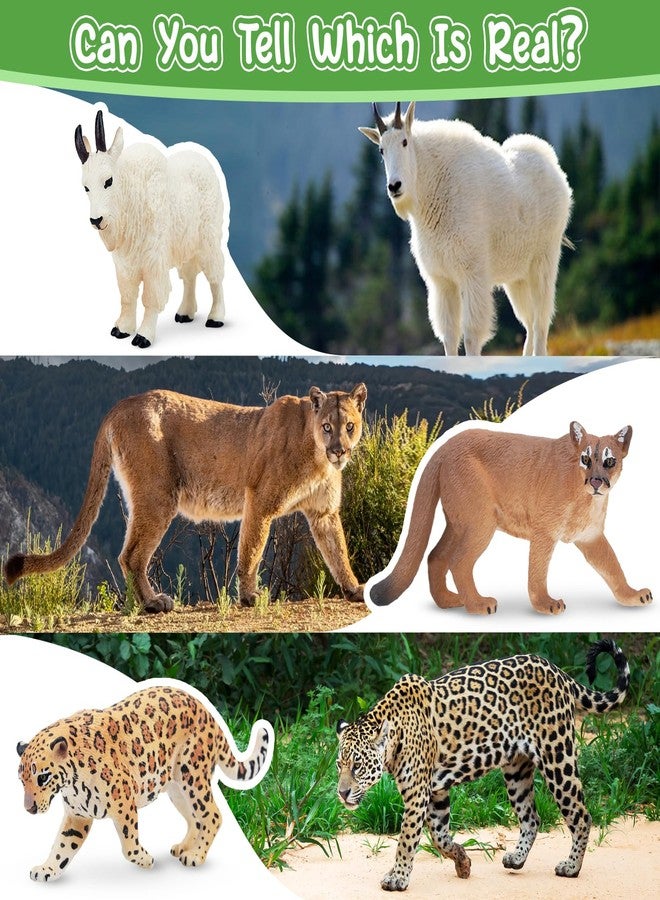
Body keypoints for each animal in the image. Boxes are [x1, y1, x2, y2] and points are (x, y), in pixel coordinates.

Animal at [4, 382, 367, 611]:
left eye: (349, 426)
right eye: (327, 427)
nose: (339, 450)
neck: (317, 457)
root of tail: (123, 403)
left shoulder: (323, 514)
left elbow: (338, 552)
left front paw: (354, 589)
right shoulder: (260, 501)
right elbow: (251, 551)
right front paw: (250, 597)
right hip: (158, 495)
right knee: (131, 555)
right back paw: (153, 603)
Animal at [17, 685, 272, 881]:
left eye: (43, 777)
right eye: (21, 781)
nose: (29, 809)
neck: (73, 782)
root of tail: (206, 711)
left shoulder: (124, 804)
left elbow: (129, 845)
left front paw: (146, 860)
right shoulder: (77, 816)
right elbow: (62, 847)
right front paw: (47, 869)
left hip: (192, 776)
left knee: (212, 815)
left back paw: (196, 856)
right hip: (177, 788)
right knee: (194, 818)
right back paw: (184, 847)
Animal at [336, 639, 629, 890]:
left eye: (357, 766)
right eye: (339, 765)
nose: (342, 793)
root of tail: (556, 671)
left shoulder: (418, 794)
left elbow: (407, 839)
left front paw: (397, 878)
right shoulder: (437, 792)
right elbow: (440, 837)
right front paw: (463, 862)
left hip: (557, 758)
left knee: (581, 815)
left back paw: (571, 867)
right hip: (517, 771)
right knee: (531, 817)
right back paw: (517, 859)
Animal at [368, 421, 652, 614]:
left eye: (609, 461)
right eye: (585, 458)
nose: (595, 482)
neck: (587, 497)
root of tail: (444, 446)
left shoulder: (591, 537)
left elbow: (613, 567)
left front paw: (632, 595)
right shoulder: (544, 532)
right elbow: (537, 572)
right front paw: (545, 604)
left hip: (461, 522)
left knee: (436, 555)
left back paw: (448, 600)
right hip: (480, 523)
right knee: (458, 561)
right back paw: (477, 604)